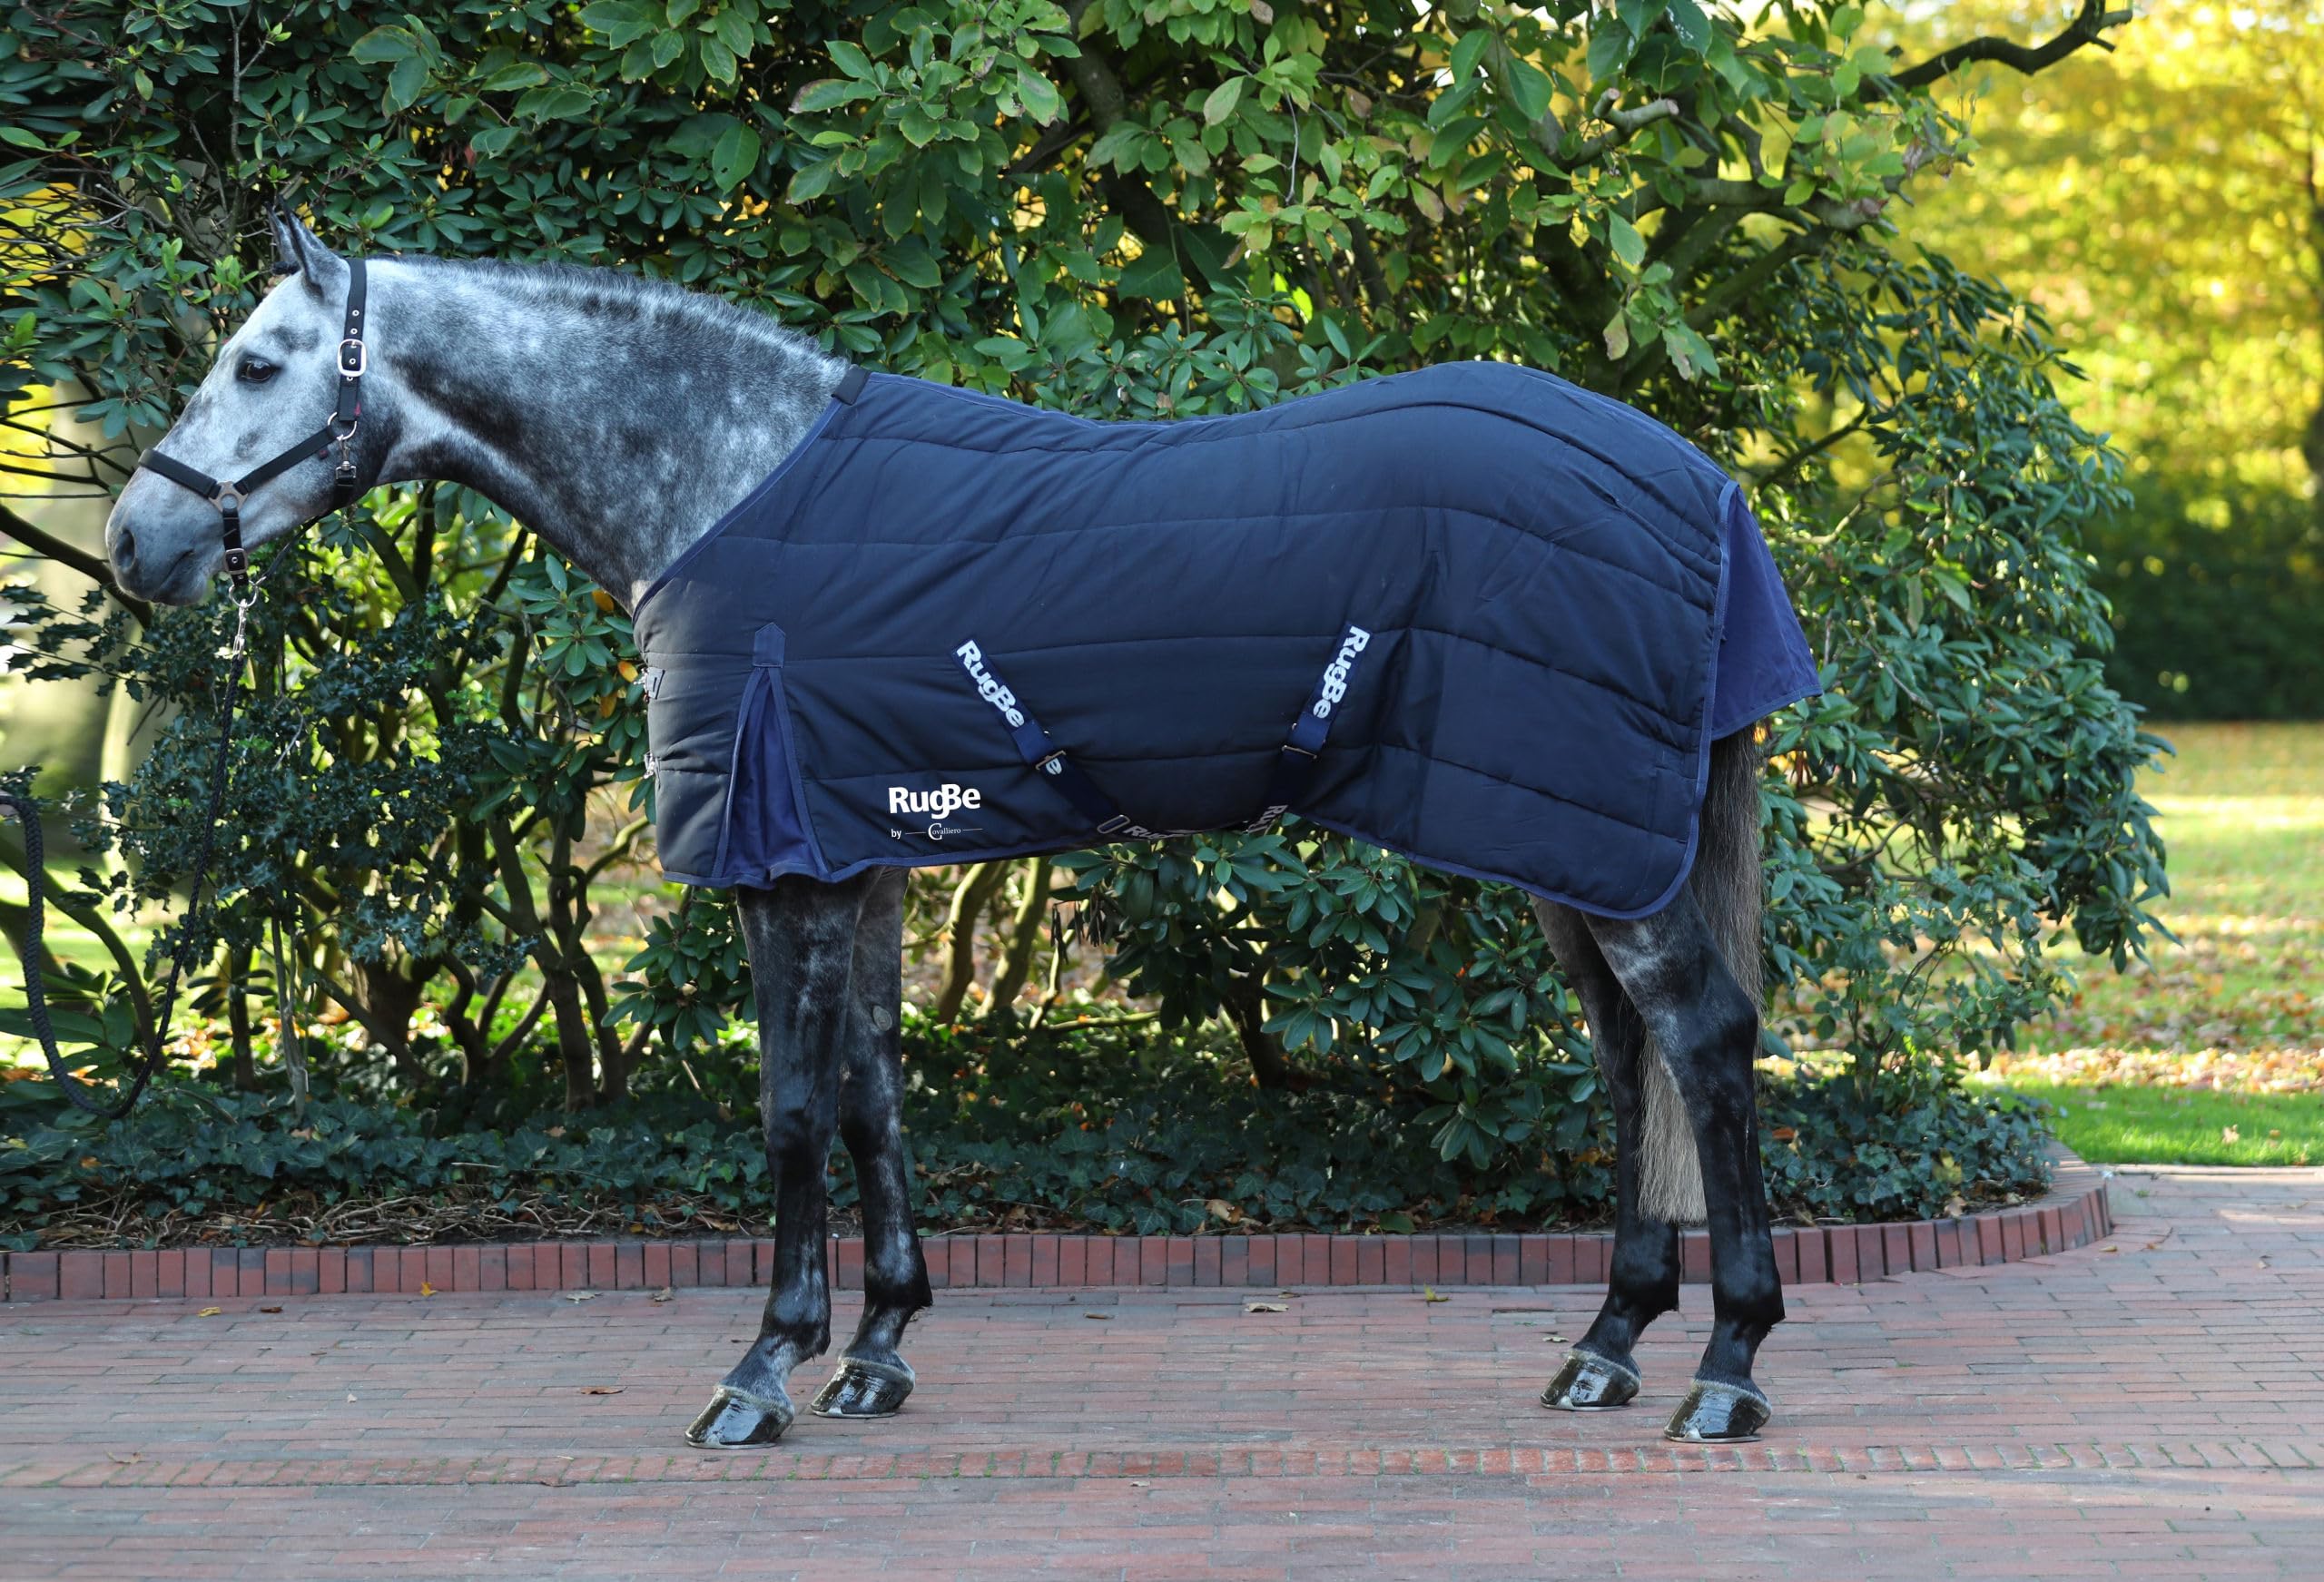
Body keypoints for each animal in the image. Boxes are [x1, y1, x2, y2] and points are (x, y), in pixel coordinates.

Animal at [104, 208, 1796, 1446]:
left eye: (257, 362)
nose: (136, 543)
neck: (725, 479)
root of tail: (1696, 478)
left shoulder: (778, 868)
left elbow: (792, 1109)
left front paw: (763, 1367)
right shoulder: (852, 854)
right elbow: (872, 1095)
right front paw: (876, 1347)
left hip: (1597, 845)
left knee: (1705, 1042)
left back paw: (1727, 1364)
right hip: (1566, 838)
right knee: (1631, 1058)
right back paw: (1610, 1342)